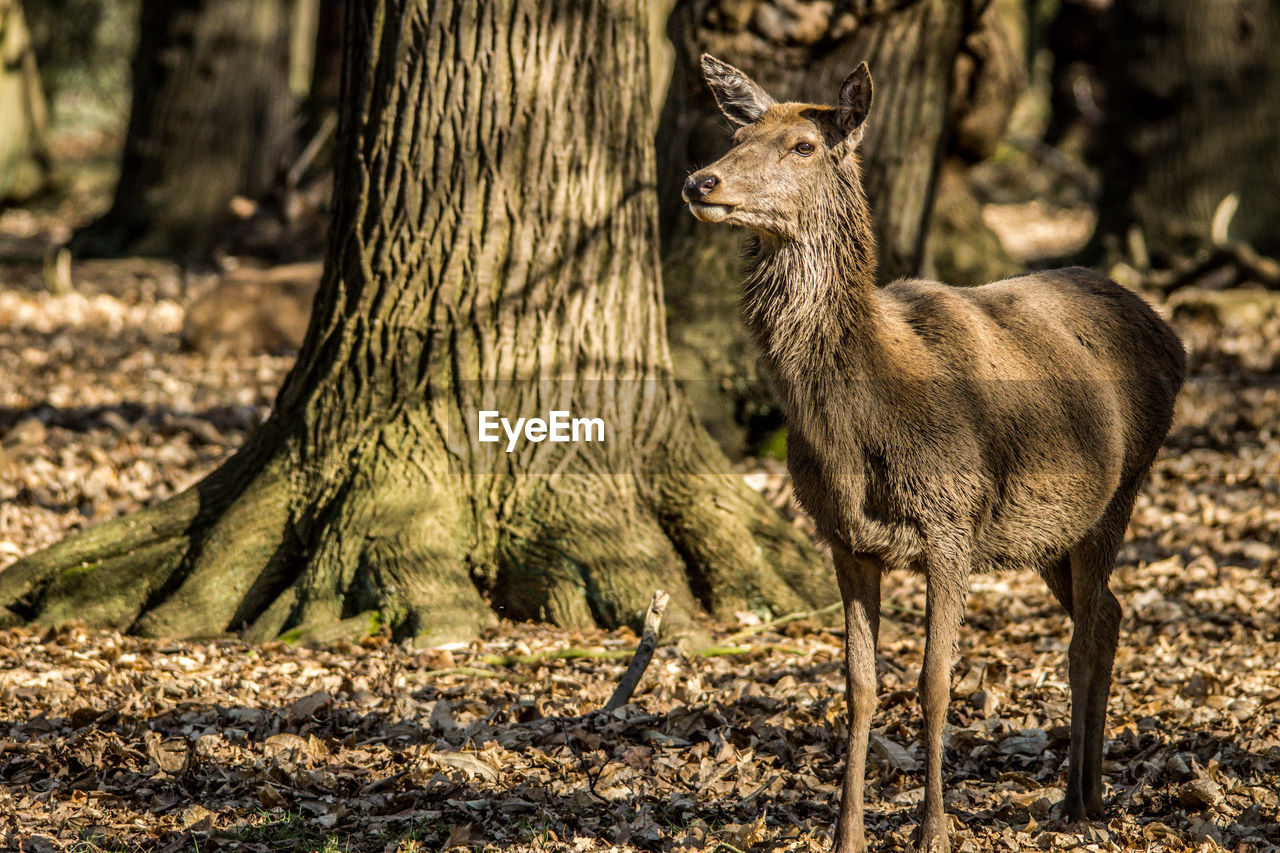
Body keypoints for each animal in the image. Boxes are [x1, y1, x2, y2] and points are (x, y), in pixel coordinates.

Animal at [686, 54, 1182, 850]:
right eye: (739, 133)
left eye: (803, 145)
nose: (701, 182)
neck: (864, 428)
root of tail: (1176, 338)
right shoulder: (845, 538)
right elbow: (859, 685)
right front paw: (847, 833)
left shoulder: (952, 523)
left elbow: (935, 681)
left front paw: (933, 831)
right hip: (1053, 531)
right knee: (1107, 614)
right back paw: (1092, 791)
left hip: (1123, 486)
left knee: (1084, 634)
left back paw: (1077, 799)